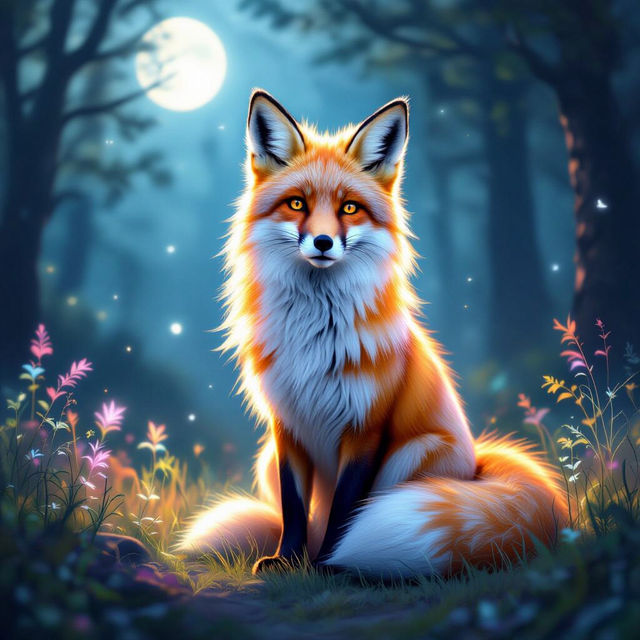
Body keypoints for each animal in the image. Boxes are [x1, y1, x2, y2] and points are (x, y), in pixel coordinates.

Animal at [177, 90, 567, 577]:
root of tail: (477, 464)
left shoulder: (366, 427)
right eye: (297, 204)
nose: (323, 243)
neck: (314, 336)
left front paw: (330, 564)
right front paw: (288, 561)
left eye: (349, 208)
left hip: (413, 454)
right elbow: (293, 507)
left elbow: (346, 510)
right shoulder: (286, 426)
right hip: (266, 459)